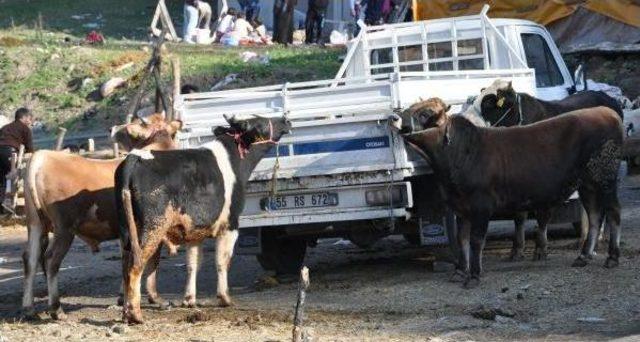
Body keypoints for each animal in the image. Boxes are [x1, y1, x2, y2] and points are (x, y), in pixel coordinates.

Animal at [22, 115, 181, 320]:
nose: (112, 128)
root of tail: (42, 156)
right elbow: (152, 262)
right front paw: (155, 299)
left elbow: (127, 262)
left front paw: (125, 299)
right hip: (64, 228)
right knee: (50, 260)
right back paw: (56, 309)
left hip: (35, 224)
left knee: (31, 259)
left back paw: (28, 308)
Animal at [116, 114, 292, 324]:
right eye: (262, 122)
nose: (285, 119)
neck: (234, 160)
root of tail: (134, 157)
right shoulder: (230, 224)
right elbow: (222, 261)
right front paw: (225, 298)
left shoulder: (195, 231)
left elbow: (193, 264)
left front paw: (189, 299)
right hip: (152, 227)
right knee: (135, 266)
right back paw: (136, 315)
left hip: (127, 230)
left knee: (125, 266)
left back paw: (126, 313)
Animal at [392, 99, 624, 288]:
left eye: (425, 113)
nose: (394, 117)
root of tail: (607, 112)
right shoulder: (460, 207)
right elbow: (462, 239)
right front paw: (459, 271)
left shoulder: (481, 205)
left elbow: (476, 240)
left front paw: (474, 276)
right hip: (587, 184)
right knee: (594, 215)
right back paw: (584, 256)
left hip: (606, 178)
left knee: (613, 212)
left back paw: (612, 258)